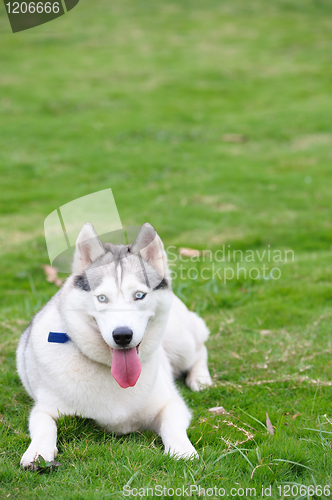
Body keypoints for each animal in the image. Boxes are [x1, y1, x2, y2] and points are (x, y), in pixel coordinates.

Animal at [16, 221, 211, 466]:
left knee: (200, 348)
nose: (122, 335)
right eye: (102, 298)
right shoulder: (45, 409)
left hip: (180, 341)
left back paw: (200, 378)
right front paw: (38, 452)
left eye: (139, 295)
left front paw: (182, 450)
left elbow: (171, 425)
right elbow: (44, 426)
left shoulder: (171, 404)